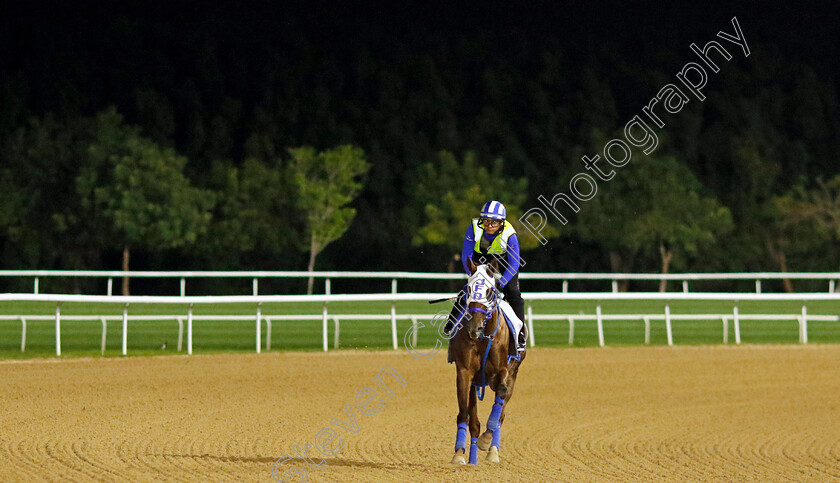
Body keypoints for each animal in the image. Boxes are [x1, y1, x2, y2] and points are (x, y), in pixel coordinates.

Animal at [450, 260, 520, 466]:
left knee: (501, 414)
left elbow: (500, 402)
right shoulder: (465, 372)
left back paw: (493, 451)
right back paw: (472, 458)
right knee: (474, 422)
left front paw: (486, 441)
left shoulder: (502, 373)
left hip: (513, 375)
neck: (482, 339)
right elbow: (464, 412)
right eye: (469, 289)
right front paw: (459, 453)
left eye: (489, 291)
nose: (474, 327)